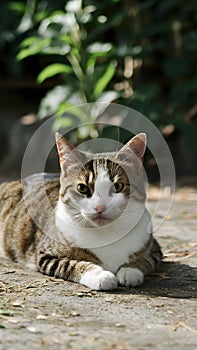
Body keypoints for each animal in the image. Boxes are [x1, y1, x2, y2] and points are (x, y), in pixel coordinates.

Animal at [0, 131, 163, 290]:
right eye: (82, 188)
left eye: (117, 186)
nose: (99, 207)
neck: (105, 232)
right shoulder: (45, 254)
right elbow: (69, 264)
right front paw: (99, 275)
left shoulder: (154, 248)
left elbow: (147, 260)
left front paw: (130, 270)